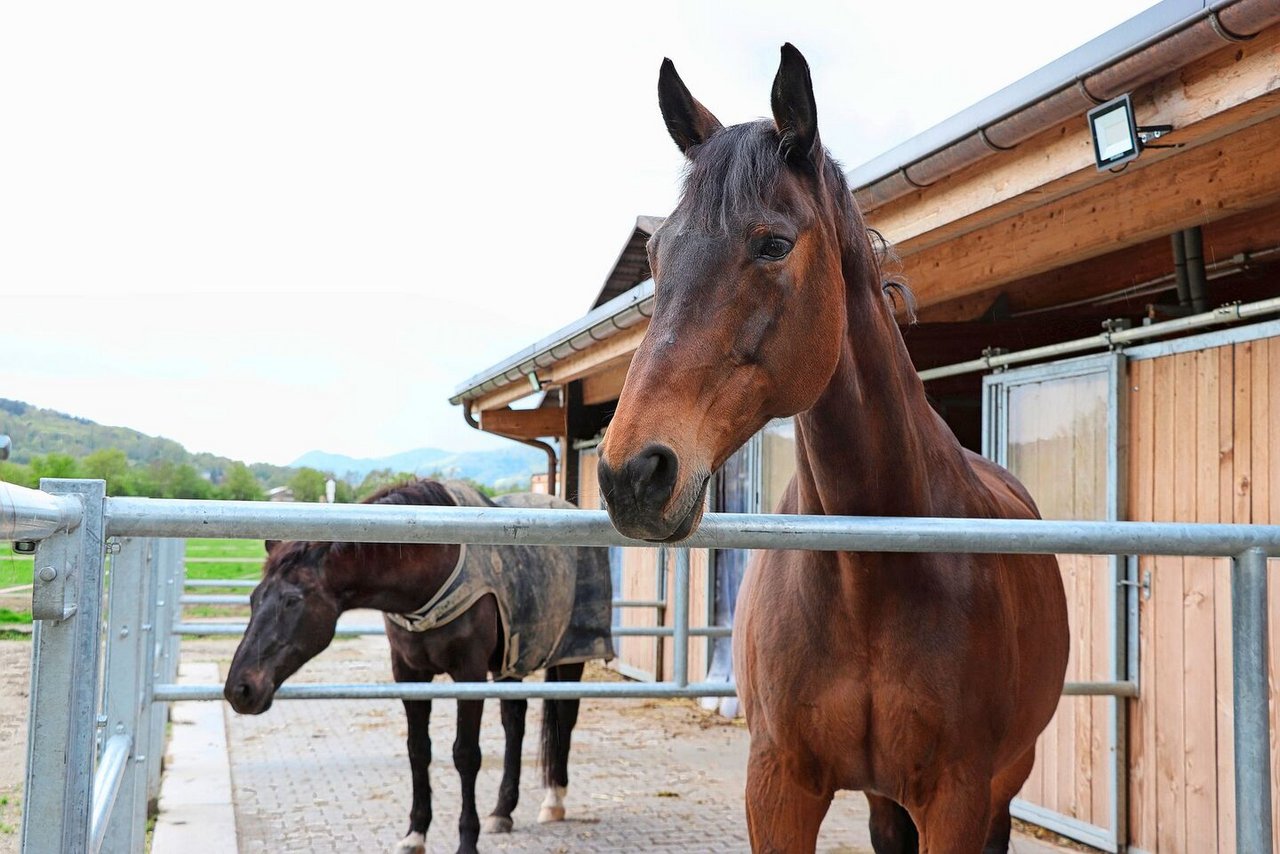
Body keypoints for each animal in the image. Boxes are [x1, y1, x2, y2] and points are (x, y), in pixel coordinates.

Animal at [222, 481, 611, 854]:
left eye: (292, 600)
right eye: (254, 598)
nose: (240, 689)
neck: (435, 568)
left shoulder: (468, 673)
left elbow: (465, 754)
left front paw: (467, 841)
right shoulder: (408, 673)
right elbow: (418, 750)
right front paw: (415, 834)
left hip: (573, 653)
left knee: (564, 718)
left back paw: (554, 800)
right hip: (511, 661)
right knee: (514, 721)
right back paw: (503, 811)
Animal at [599, 46, 1070, 854]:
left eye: (774, 244)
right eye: (656, 254)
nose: (633, 472)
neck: (867, 573)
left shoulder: (957, 796)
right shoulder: (779, 783)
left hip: (1004, 783)